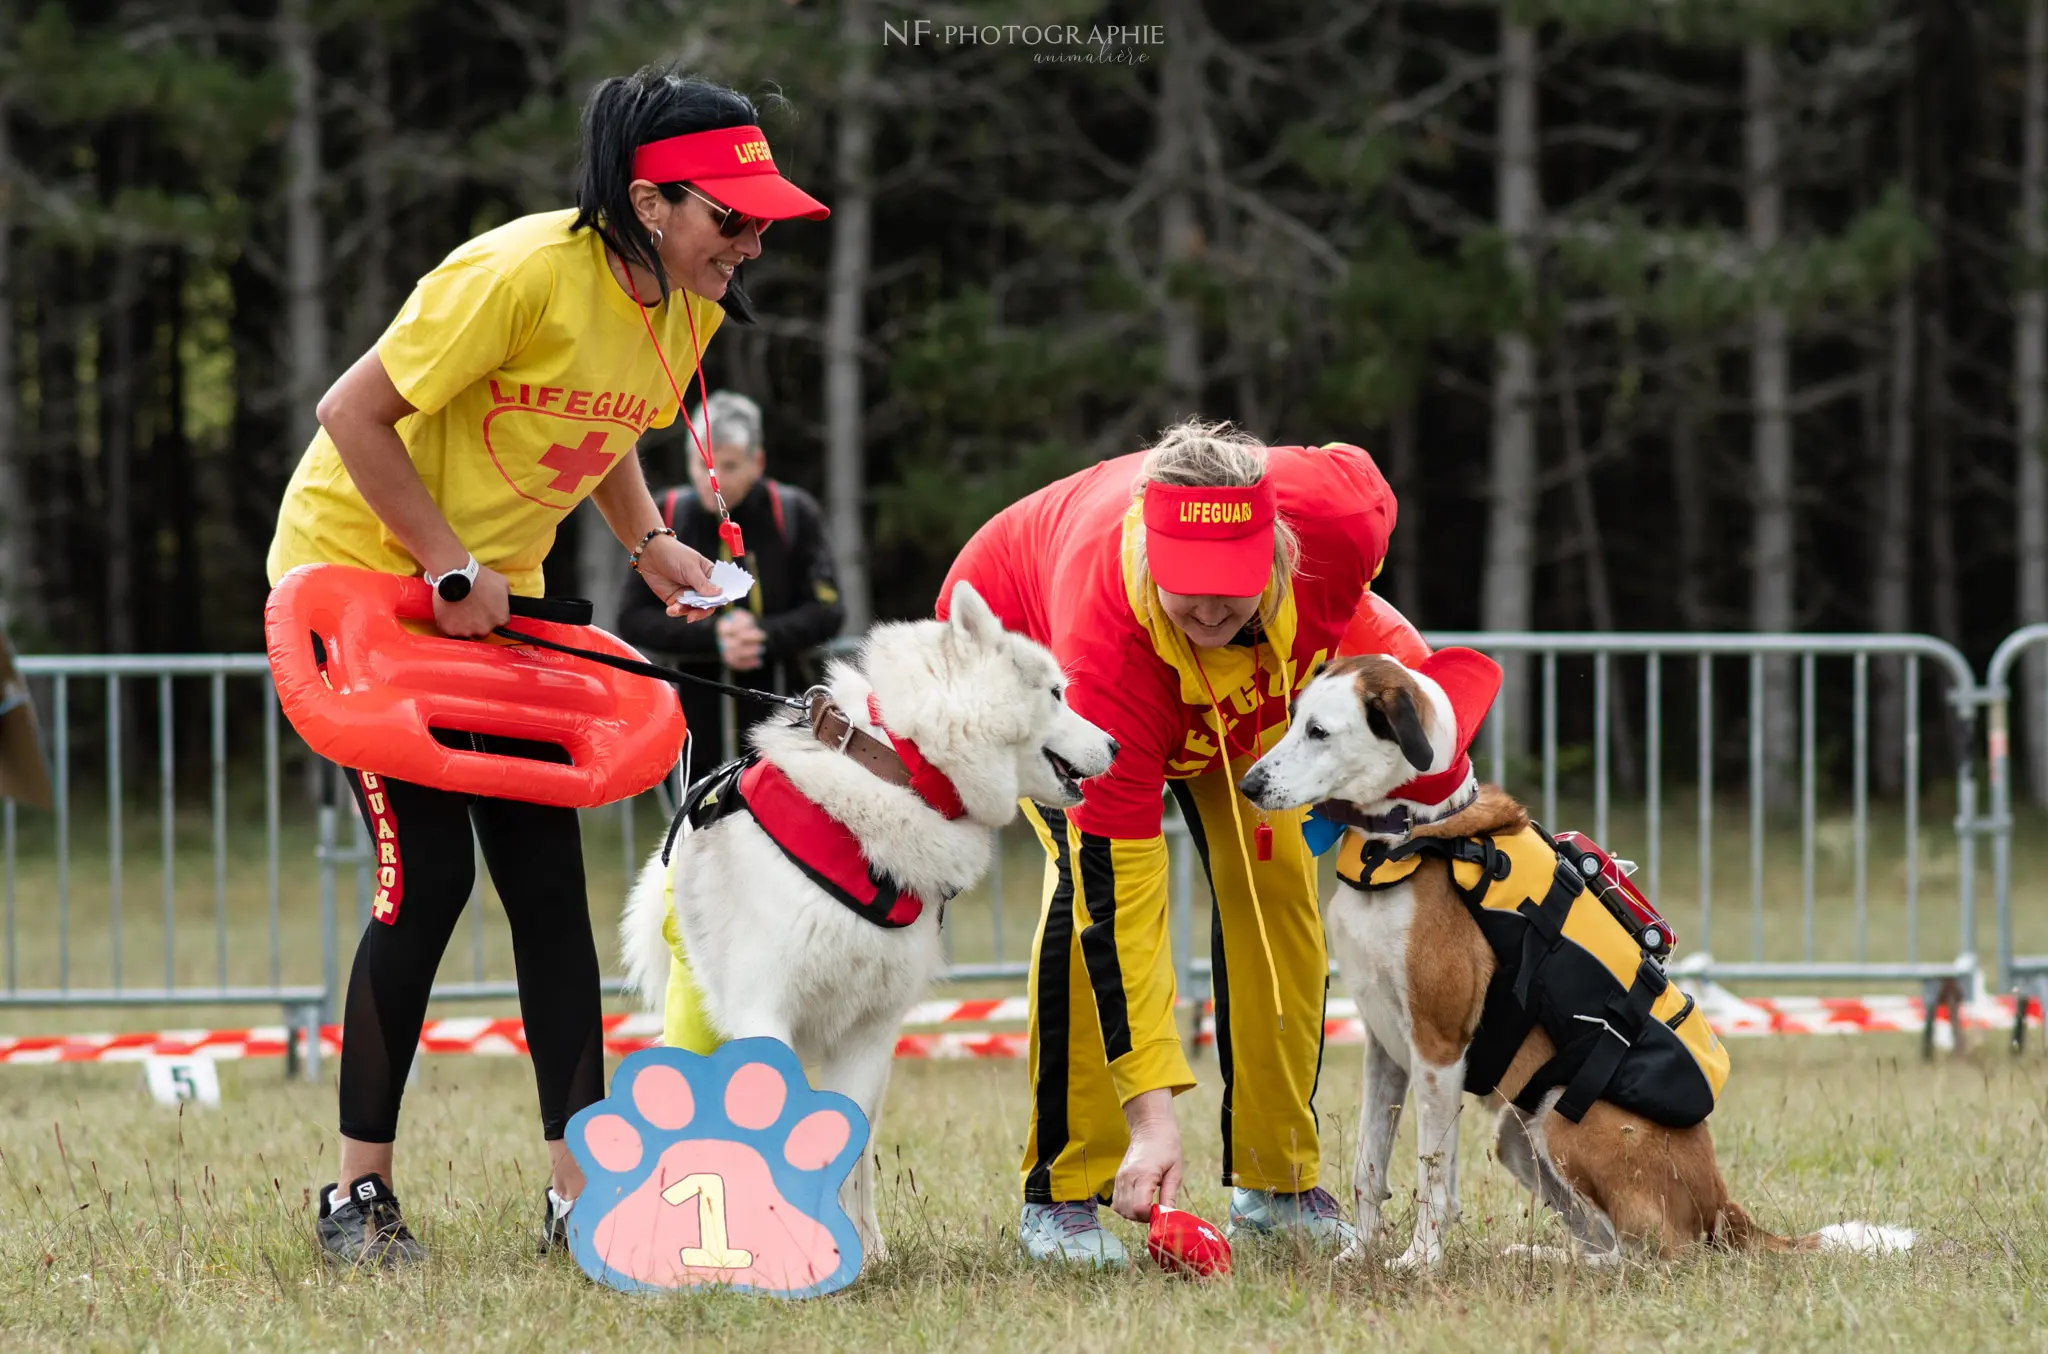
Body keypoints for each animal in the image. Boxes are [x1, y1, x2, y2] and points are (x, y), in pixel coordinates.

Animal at [618, 581, 1114, 1253]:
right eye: (1057, 693)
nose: (1115, 746)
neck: (901, 768)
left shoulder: (873, 1032)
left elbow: (842, 1149)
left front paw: (844, 1250)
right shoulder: (762, 1011)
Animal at [1228, 651, 1916, 1270]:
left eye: (1320, 732)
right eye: (1293, 719)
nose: (1249, 785)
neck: (1403, 837)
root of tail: (1721, 1203)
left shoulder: (1439, 1047)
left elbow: (1433, 1176)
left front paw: (1420, 1262)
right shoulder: (1385, 1047)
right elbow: (1369, 1167)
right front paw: (1362, 1255)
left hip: (1562, 1118)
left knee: (1655, 1256)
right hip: (1516, 1134)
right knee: (1606, 1242)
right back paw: (1548, 1255)